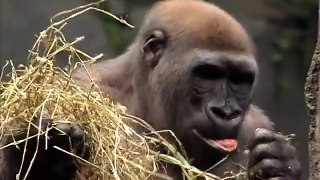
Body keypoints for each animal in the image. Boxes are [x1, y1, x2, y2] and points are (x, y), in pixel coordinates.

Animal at [0, 0, 302, 180]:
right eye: (207, 74)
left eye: (240, 79)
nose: (227, 112)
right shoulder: (77, 89)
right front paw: (39, 153)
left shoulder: (255, 123)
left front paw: (282, 165)